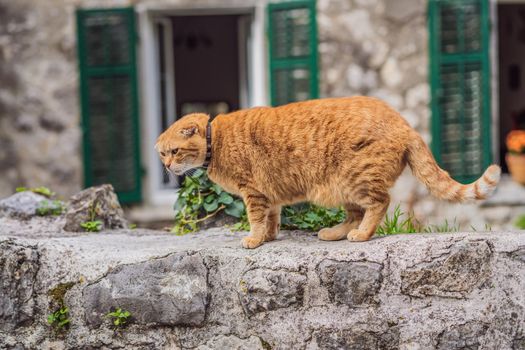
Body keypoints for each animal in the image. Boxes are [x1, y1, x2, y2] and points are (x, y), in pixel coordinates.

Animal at [155, 96, 500, 249]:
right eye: (161, 154)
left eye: (175, 152)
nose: (167, 167)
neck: (215, 140)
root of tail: (404, 124)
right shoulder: (267, 192)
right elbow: (272, 216)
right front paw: (269, 236)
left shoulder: (253, 191)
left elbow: (255, 218)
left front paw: (254, 239)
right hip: (339, 187)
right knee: (355, 213)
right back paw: (335, 233)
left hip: (352, 179)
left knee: (379, 204)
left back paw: (360, 235)